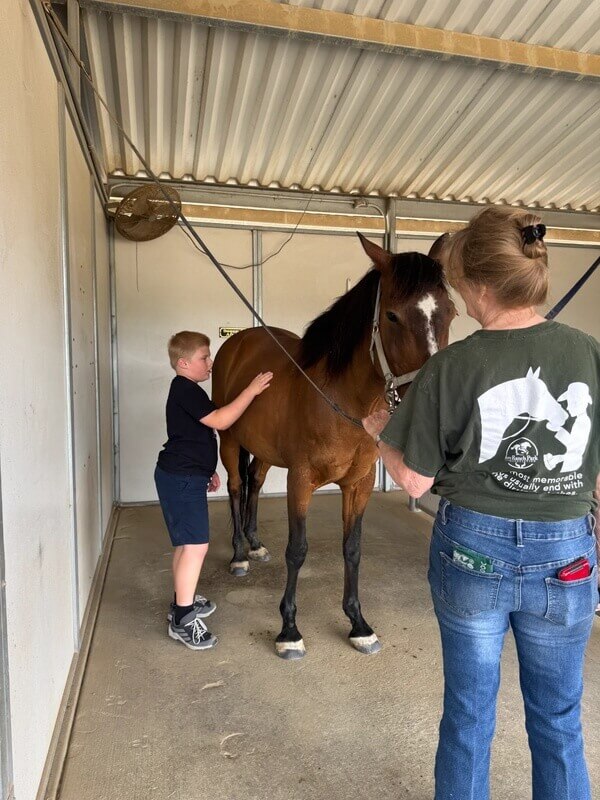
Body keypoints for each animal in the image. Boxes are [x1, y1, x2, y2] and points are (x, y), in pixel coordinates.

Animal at [211, 233, 455, 659]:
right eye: (392, 316)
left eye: (452, 313)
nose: (434, 402)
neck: (341, 402)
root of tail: (237, 343)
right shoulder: (300, 481)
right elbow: (298, 549)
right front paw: (289, 630)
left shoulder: (359, 485)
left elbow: (352, 548)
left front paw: (358, 624)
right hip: (229, 440)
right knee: (237, 487)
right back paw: (240, 554)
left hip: (263, 451)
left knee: (254, 483)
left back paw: (256, 545)